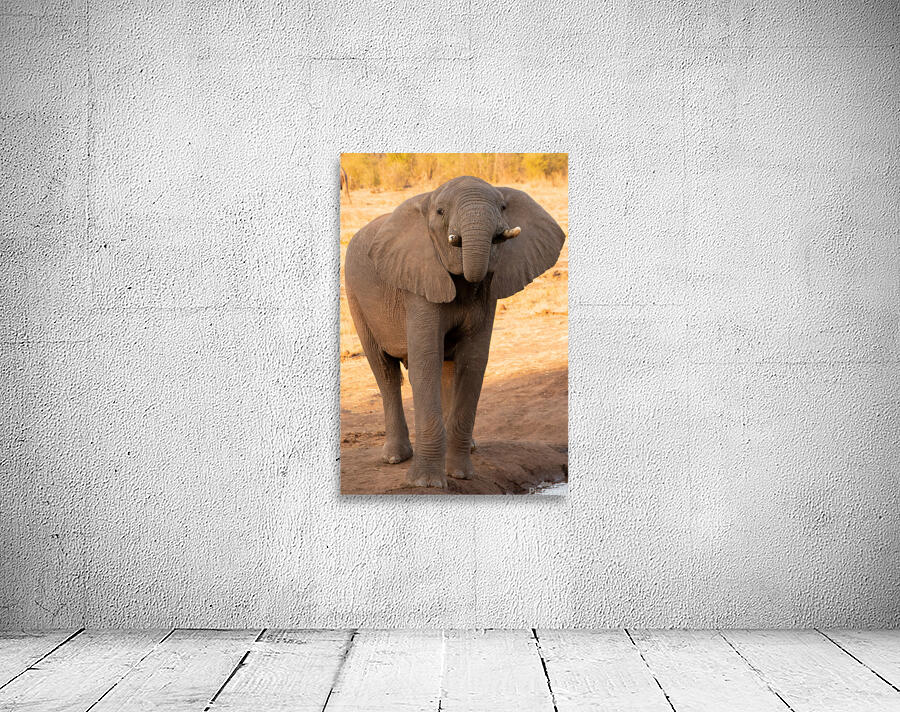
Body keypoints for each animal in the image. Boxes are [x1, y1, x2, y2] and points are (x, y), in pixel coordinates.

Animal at [344, 176, 565, 488]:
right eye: (440, 212)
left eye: (503, 207)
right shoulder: (419, 280)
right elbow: (426, 361)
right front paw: (426, 483)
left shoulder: (486, 295)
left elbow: (471, 363)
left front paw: (460, 474)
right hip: (356, 297)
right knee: (385, 372)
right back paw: (395, 458)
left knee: (446, 371)